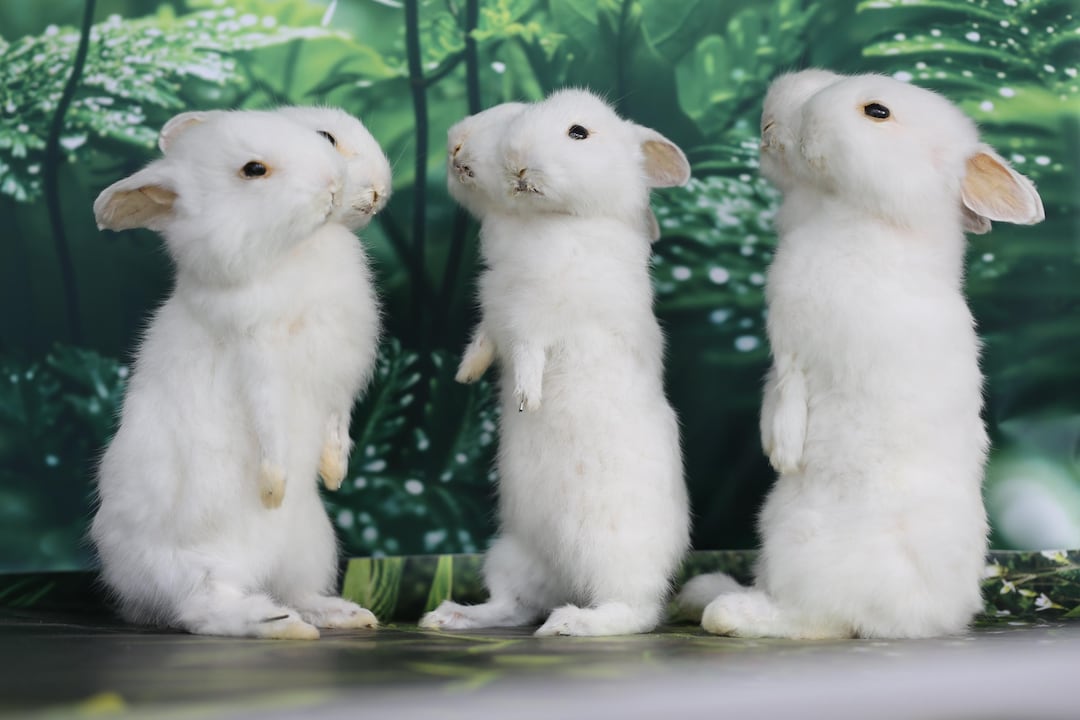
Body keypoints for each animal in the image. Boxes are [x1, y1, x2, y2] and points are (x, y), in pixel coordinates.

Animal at [90, 108, 384, 639]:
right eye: (254, 170)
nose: (333, 184)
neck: (295, 251)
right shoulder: (259, 362)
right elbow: (269, 427)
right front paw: (273, 488)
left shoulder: (338, 383)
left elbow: (337, 423)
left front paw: (334, 473)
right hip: (197, 567)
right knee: (204, 610)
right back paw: (277, 624)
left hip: (310, 546)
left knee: (298, 590)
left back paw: (342, 615)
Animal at [420, 88, 692, 636]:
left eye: (578, 132)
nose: (456, 141)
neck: (549, 220)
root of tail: (567, 578)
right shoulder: (497, 315)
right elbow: (485, 342)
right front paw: (466, 374)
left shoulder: (539, 320)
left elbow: (529, 353)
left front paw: (528, 397)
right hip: (507, 555)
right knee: (514, 605)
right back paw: (451, 616)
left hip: (613, 556)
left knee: (634, 612)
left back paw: (571, 624)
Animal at [677, 70, 1044, 639]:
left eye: (877, 111)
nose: (770, 114)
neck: (857, 216)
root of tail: (918, 619)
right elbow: (775, 384)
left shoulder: (795, 341)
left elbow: (785, 389)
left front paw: (781, 450)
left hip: (794, 540)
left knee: (816, 620)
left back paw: (724, 609)